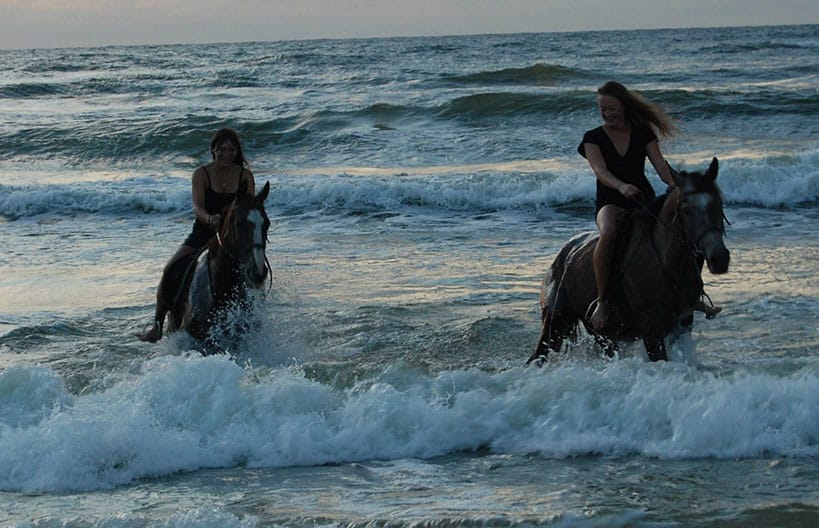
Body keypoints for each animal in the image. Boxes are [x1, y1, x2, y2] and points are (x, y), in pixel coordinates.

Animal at [526, 158, 729, 365]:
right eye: (686, 210)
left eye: (719, 203)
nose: (720, 258)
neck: (666, 264)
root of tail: (563, 256)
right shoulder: (652, 332)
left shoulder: (682, 326)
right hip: (555, 322)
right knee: (538, 355)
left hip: (603, 334)